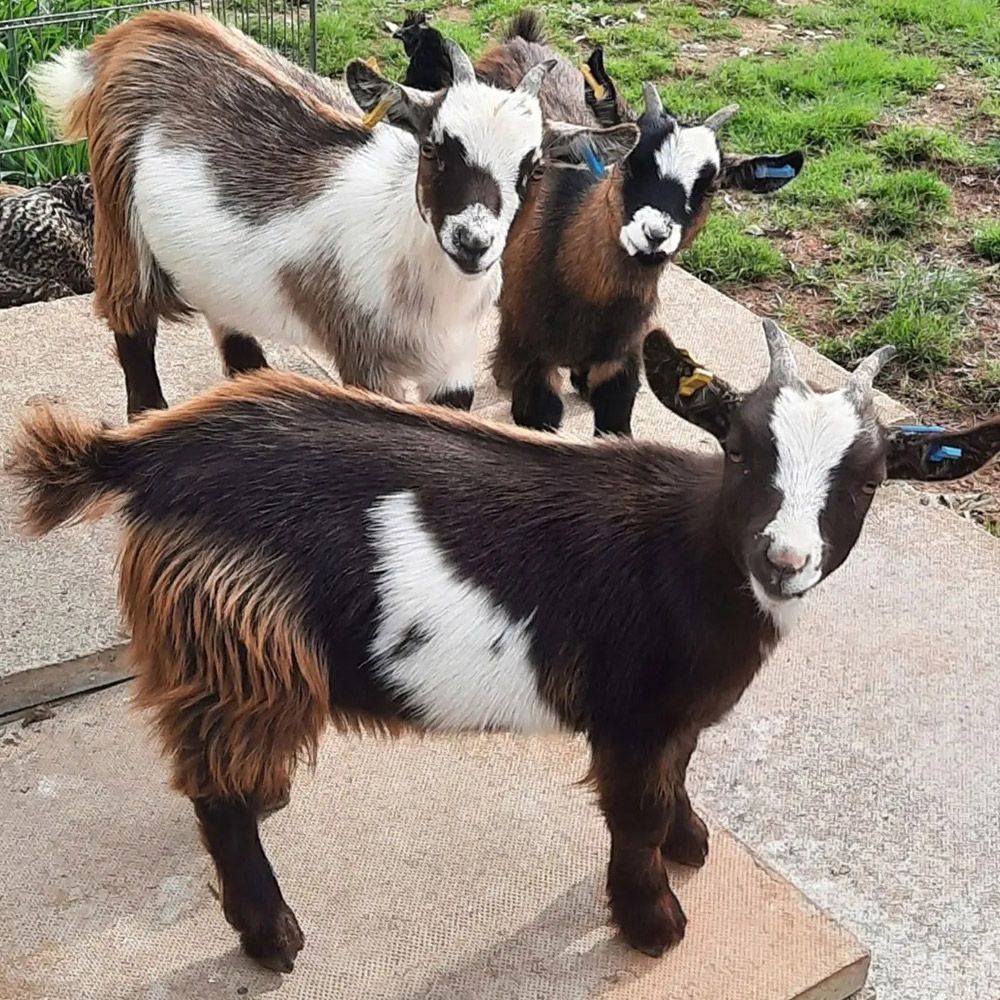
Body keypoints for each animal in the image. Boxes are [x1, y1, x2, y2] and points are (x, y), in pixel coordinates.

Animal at [11, 319, 999, 973]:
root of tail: (144, 455)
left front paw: (693, 844)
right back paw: (272, 938)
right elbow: (636, 811)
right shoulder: (631, 714)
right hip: (238, 643)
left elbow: (680, 777)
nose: (784, 559)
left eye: (867, 480)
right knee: (214, 797)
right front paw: (653, 923)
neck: (696, 553)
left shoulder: (675, 716)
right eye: (744, 451)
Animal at [31, 12, 637, 419]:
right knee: (131, 320)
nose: (472, 241)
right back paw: (147, 415)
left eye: (534, 169)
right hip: (118, 212)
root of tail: (133, 33)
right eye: (433, 148)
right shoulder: (364, 357)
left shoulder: (452, 364)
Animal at [396, 11, 804, 435]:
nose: (654, 235)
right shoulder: (535, 361)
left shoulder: (622, 361)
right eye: (631, 163)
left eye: (710, 186)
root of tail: (521, 37)